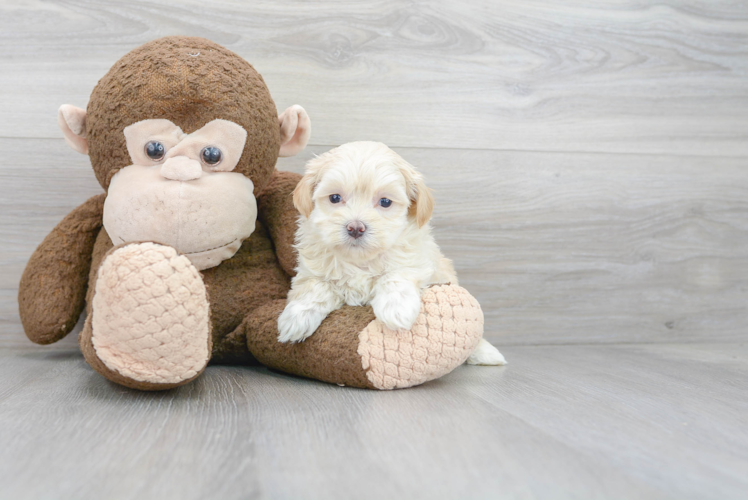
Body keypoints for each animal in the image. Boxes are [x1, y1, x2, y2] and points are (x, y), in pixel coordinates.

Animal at [278, 143, 506, 366]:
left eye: (385, 202)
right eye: (335, 198)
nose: (355, 228)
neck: (360, 261)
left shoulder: (416, 260)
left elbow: (396, 275)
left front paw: (396, 309)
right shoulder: (311, 271)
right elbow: (313, 288)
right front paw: (295, 320)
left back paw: (485, 353)